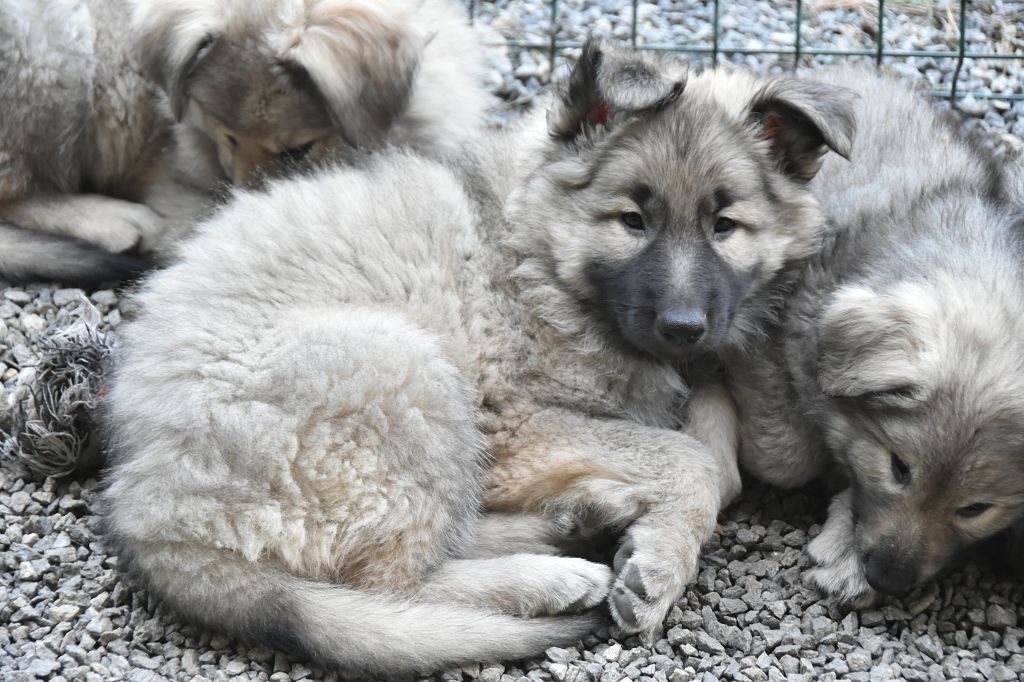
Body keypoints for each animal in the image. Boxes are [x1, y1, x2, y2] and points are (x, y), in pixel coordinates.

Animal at [0, 0, 489, 284]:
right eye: (228, 137)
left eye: (298, 150)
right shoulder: (173, 186)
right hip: (53, 47)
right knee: (15, 194)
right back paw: (111, 219)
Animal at [99, 42, 854, 674]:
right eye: (632, 220)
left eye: (725, 226)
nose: (683, 327)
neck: (534, 252)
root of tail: (151, 515)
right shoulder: (519, 422)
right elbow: (689, 458)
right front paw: (662, 565)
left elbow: (716, 454)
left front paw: (659, 534)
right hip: (405, 377)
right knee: (394, 584)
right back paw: (549, 575)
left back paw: (576, 515)